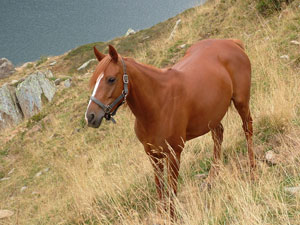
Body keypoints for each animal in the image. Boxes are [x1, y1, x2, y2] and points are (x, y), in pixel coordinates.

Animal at [85, 38, 255, 218]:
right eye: (94, 81)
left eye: (111, 79)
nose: (90, 117)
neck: (158, 103)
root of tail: (231, 42)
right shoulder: (153, 155)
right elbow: (160, 189)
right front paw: (162, 216)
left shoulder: (174, 154)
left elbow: (172, 189)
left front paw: (172, 217)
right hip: (212, 115)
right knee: (218, 135)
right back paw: (211, 179)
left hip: (241, 103)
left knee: (247, 128)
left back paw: (253, 172)